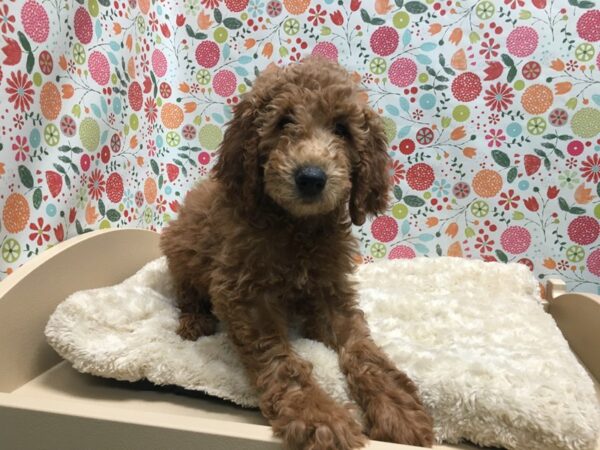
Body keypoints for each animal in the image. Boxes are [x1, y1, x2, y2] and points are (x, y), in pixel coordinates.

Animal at [161, 57, 432, 450]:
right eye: (283, 121)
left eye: (342, 128)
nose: (311, 177)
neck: (297, 226)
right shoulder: (243, 293)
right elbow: (280, 360)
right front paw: (319, 416)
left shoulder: (332, 292)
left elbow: (362, 348)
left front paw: (398, 408)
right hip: (179, 249)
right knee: (186, 292)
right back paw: (195, 321)